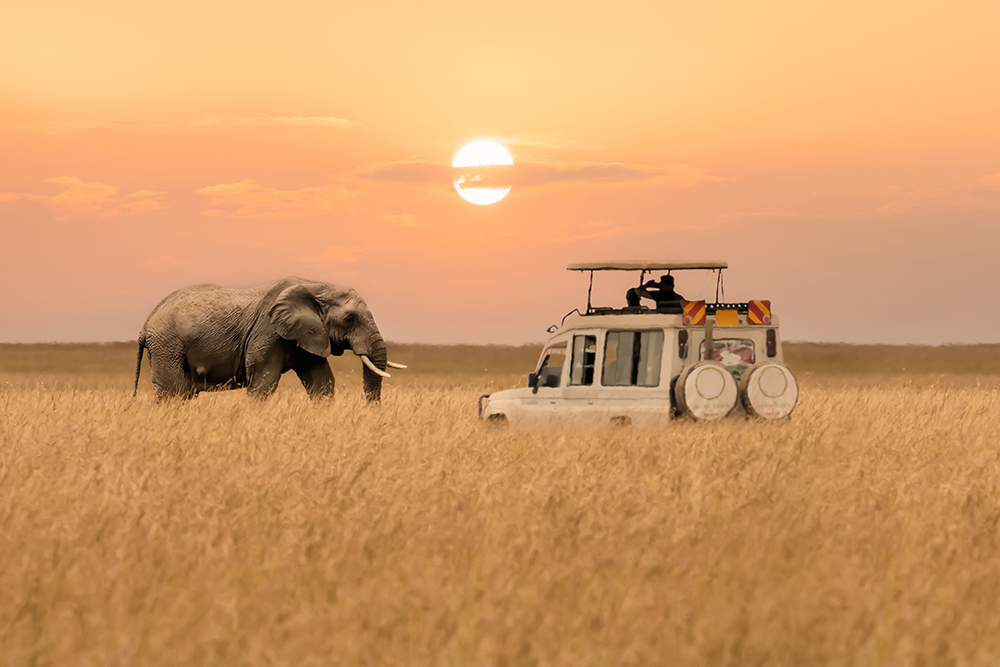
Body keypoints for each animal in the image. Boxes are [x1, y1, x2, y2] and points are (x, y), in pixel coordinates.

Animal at [134, 276, 406, 402]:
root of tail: (146, 324)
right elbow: (264, 381)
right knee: (173, 392)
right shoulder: (267, 332)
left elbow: (322, 382)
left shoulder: (308, 336)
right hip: (168, 346)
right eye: (349, 319)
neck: (315, 285)